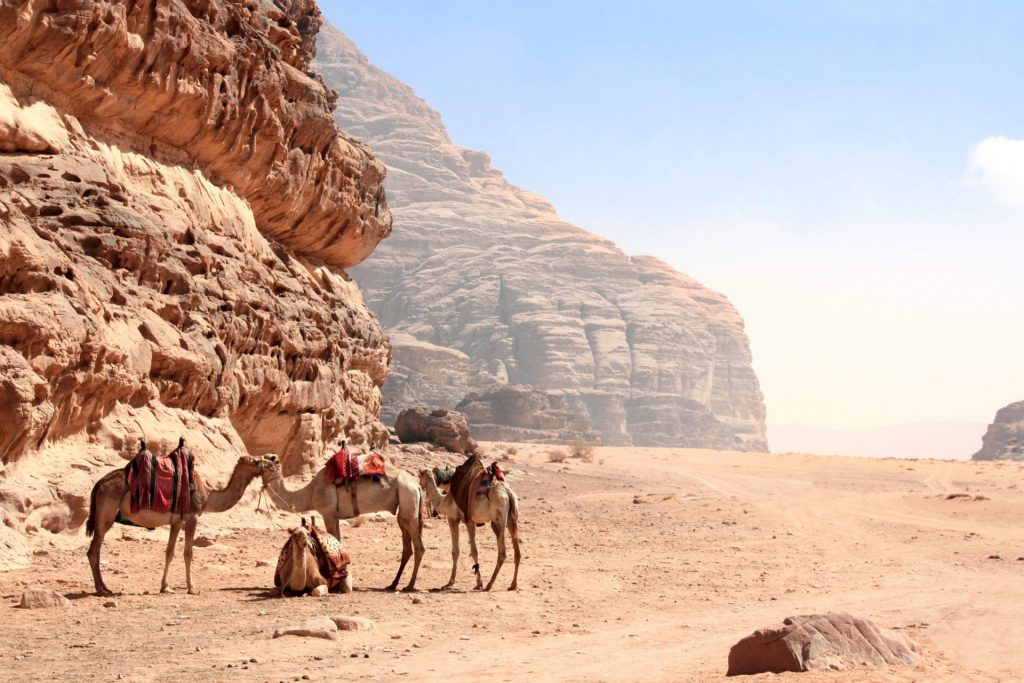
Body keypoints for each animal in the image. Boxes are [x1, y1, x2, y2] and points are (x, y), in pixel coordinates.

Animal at [86, 454, 276, 598]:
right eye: (256, 461)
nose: (273, 462)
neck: (208, 495)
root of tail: (99, 484)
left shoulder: (177, 522)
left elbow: (169, 552)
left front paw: (165, 587)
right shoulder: (192, 517)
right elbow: (188, 553)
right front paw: (192, 588)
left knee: (95, 550)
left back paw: (105, 588)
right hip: (107, 513)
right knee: (93, 551)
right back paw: (102, 590)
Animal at [264, 454, 428, 593]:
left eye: (267, 460)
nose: (259, 460)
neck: (309, 493)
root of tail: (417, 485)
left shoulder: (328, 513)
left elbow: (333, 539)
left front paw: (337, 580)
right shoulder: (335, 516)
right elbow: (338, 541)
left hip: (408, 497)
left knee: (418, 547)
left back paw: (410, 586)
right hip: (404, 506)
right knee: (407, 547)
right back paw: (393, 584)